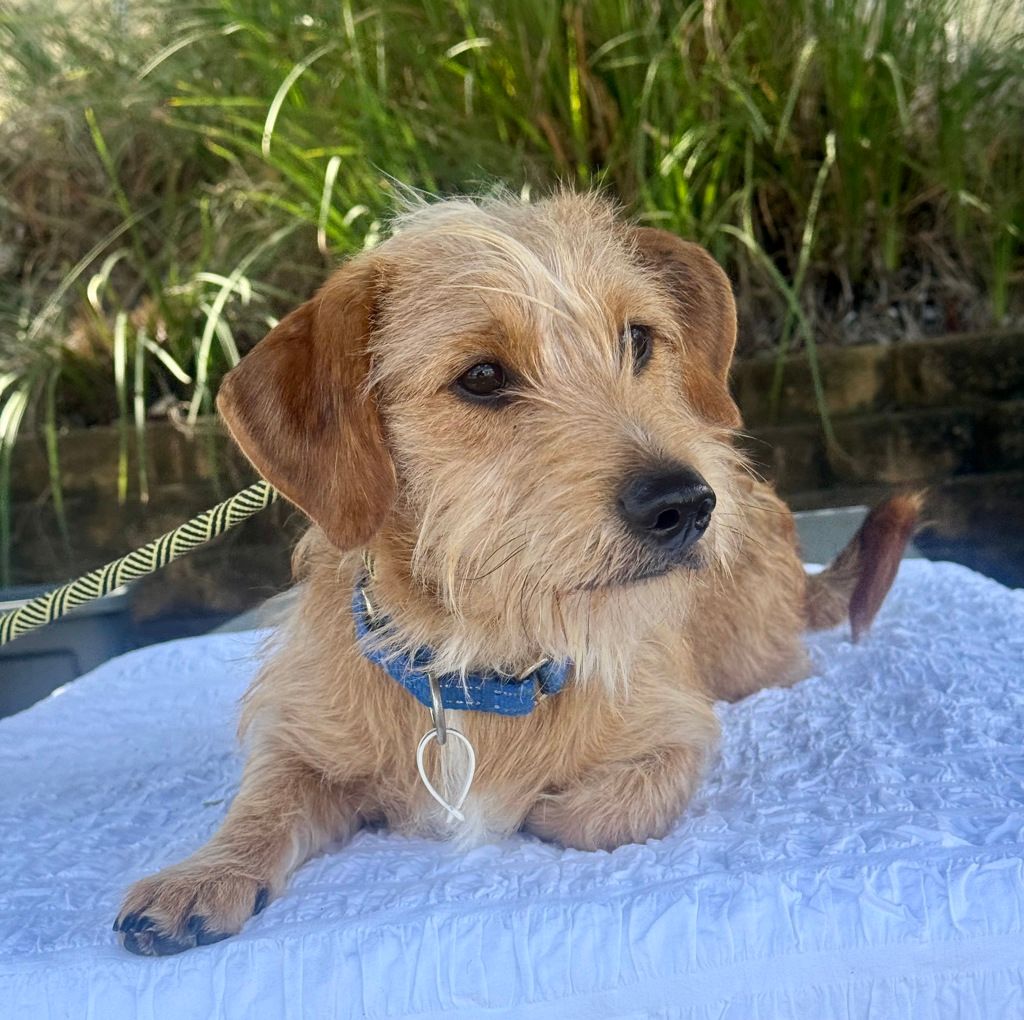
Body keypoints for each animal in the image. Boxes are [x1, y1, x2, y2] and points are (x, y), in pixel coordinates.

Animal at [114, 192, 919, 955]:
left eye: (637, 339)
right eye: (481, 376)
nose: (686, 504)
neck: (484, 661)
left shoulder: (680, 728)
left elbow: (602, 812)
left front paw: (544, 808)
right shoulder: (300, 739)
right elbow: (263, 800)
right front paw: (203, 874)